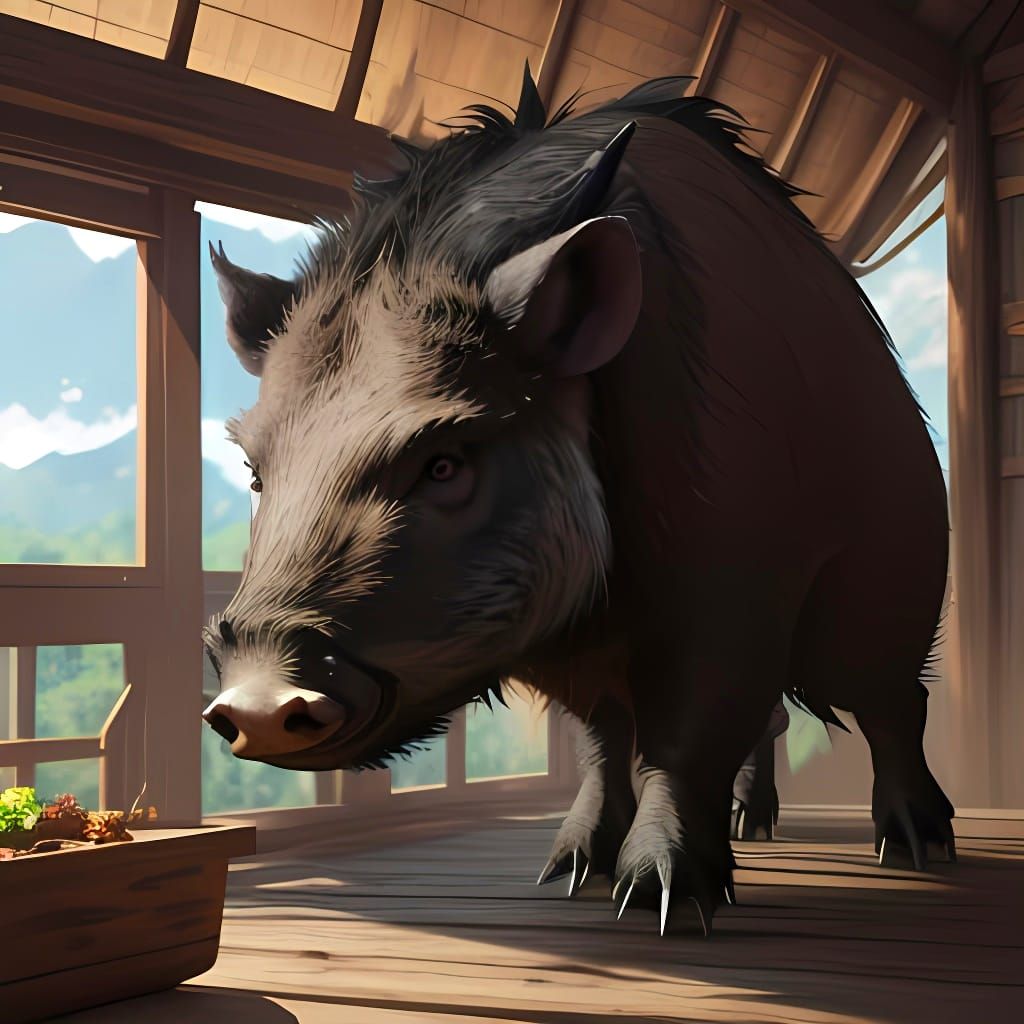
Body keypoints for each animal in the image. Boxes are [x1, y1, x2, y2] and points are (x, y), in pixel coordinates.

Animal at [202, 68, 955, 935]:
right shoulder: (573, 647)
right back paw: (753, 827)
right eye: (255, 471)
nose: (256, 699)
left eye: (443, 463)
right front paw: (567, 872)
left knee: (894, 701)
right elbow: (601, 741)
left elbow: (685, 736)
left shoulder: (735, 592)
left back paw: (917, 848)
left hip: (892, 582)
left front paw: (660, 902)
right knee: (778, 722)